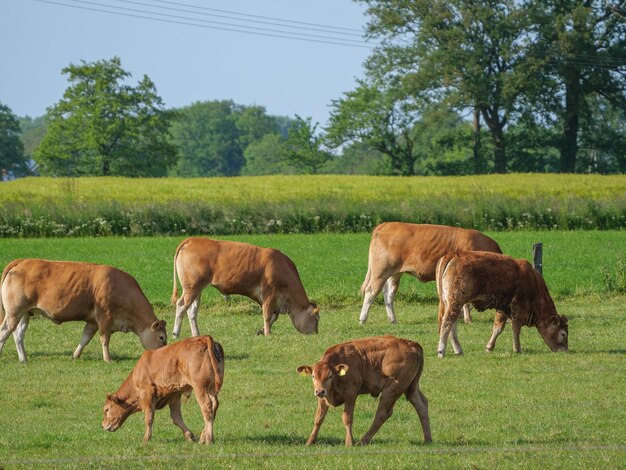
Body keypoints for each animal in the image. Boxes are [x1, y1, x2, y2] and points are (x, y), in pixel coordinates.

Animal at [0, 258, 166, 364]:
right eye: (162, 337)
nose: (162, 356)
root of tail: (23, 261)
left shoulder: (93, 321)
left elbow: (85, 338)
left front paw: (75, 355)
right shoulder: (104, 316)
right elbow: (104, 339)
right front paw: (108, 359)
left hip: (24, 314)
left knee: (18, 335)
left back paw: (23, 359)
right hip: (14, 312)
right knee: (5, 330)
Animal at [169, 239, 316, 338]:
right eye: (316, 319)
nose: (316, 333)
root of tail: (193, 239)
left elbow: (274, 316)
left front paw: (261, 331)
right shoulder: (269, 293)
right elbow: (268, 315)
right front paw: (268, 333)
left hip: (197, 288)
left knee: (192, 310)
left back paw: (196, 334)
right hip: (191, 287)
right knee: (181, 305)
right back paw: (176, 333)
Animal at [294, 336, 428, 446]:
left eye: (330, 376)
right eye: (313, 376)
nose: (319, 391)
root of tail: (411, 344)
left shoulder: (350, 394)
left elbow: (347, 418)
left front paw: (349, 442)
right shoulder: (323, 399)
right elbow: (318, 419)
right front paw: (309, 442)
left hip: (393, 389)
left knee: (382, 414)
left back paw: (362, 441)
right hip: (411, 387)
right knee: (421, 404)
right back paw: (428, 439)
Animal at [358, 222, 500, 324]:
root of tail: (386, 224)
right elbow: (465, 301)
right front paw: (467, 319)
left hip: (394, 274)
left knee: (388, 295)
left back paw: (392, 319)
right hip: (380, 271)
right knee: (371, 292)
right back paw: (363, 319)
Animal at [434, 252, 564, 358]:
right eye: (564, 334)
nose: (565, 350)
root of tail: (453, 254)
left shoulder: (503, 307)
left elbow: (498, 327)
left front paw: (489, 347)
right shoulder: (518, 307)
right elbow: (516, 328)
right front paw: (517, 348)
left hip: (451, 303)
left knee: (452, 325)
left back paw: (458, 350)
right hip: (455, 303)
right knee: (447, 323)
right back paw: (441, 351)